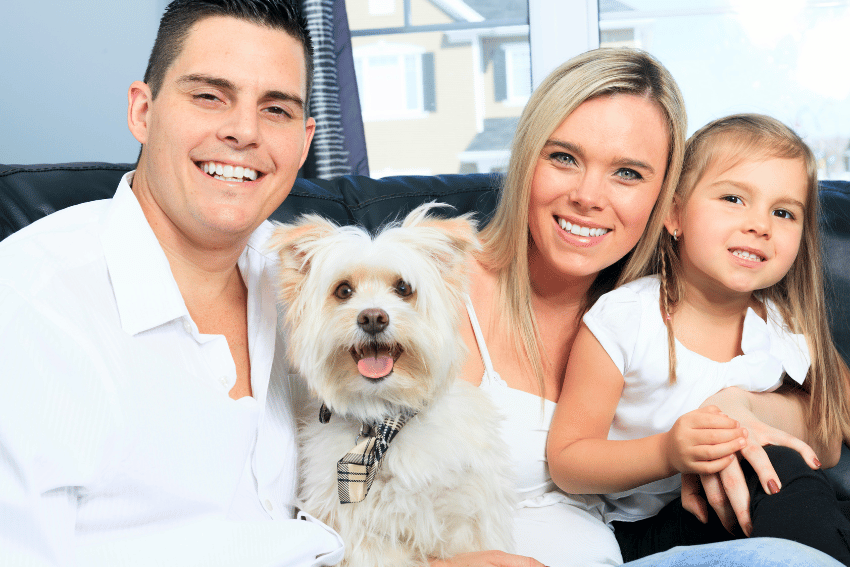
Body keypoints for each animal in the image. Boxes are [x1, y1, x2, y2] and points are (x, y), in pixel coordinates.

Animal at [268, 205, 512, 567]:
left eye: (403, 288)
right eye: (343, 291)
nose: (372, 318)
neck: (385, 418)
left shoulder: (464, 518)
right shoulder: (359, 533)